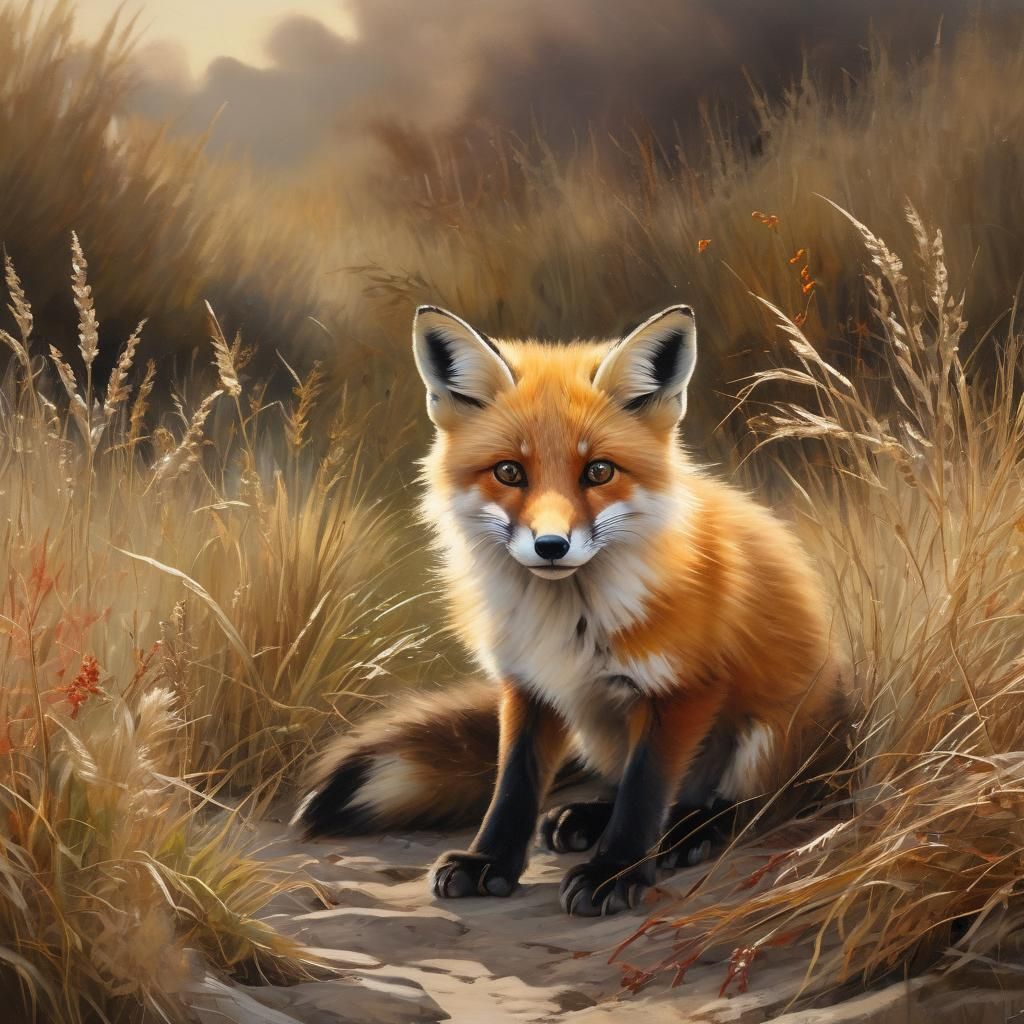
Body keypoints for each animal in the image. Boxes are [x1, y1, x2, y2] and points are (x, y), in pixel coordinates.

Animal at [295, 303, 848, 917]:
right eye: (509, 472)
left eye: (599, 471)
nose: (552, 546)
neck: (566, 619)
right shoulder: (530, 684)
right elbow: (515, 785)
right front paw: (490, 862)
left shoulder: (682, 689)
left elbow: (645, 793)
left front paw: (614, 872)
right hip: (598, 726)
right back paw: (585, 818)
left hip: (768, 734)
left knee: (748, 805)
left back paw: (691, 830)